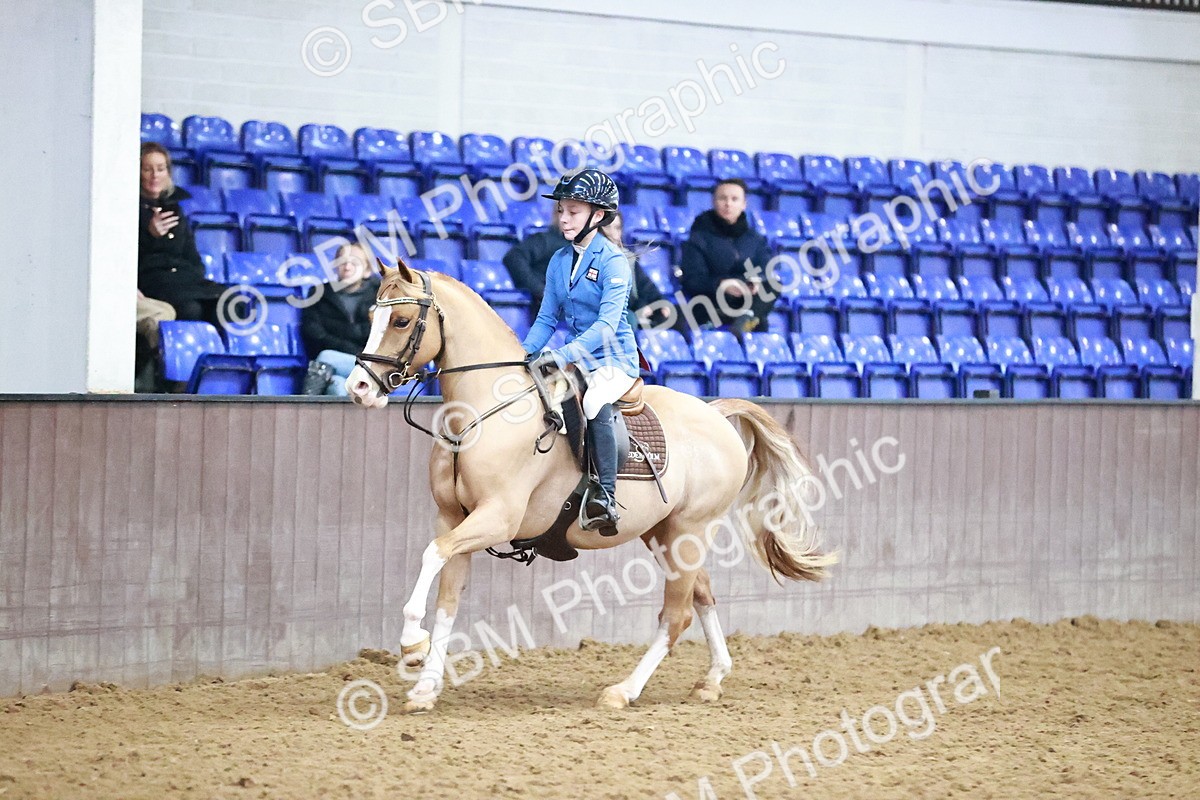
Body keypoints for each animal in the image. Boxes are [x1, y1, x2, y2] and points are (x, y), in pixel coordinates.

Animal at [346, 258, 836, 712]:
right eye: (371, 315)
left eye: (401, 320)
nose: (358, 389)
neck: (483, 414)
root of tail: (714, 412)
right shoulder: (453, 518)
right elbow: (447, 599)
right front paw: (425, 686)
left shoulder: (496, 519)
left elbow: (432, 556)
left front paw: (412, 645)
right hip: (664, 535)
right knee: (703, 596)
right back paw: (712, 680)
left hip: (691, 530)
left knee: (676, 616)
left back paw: (623, 691)